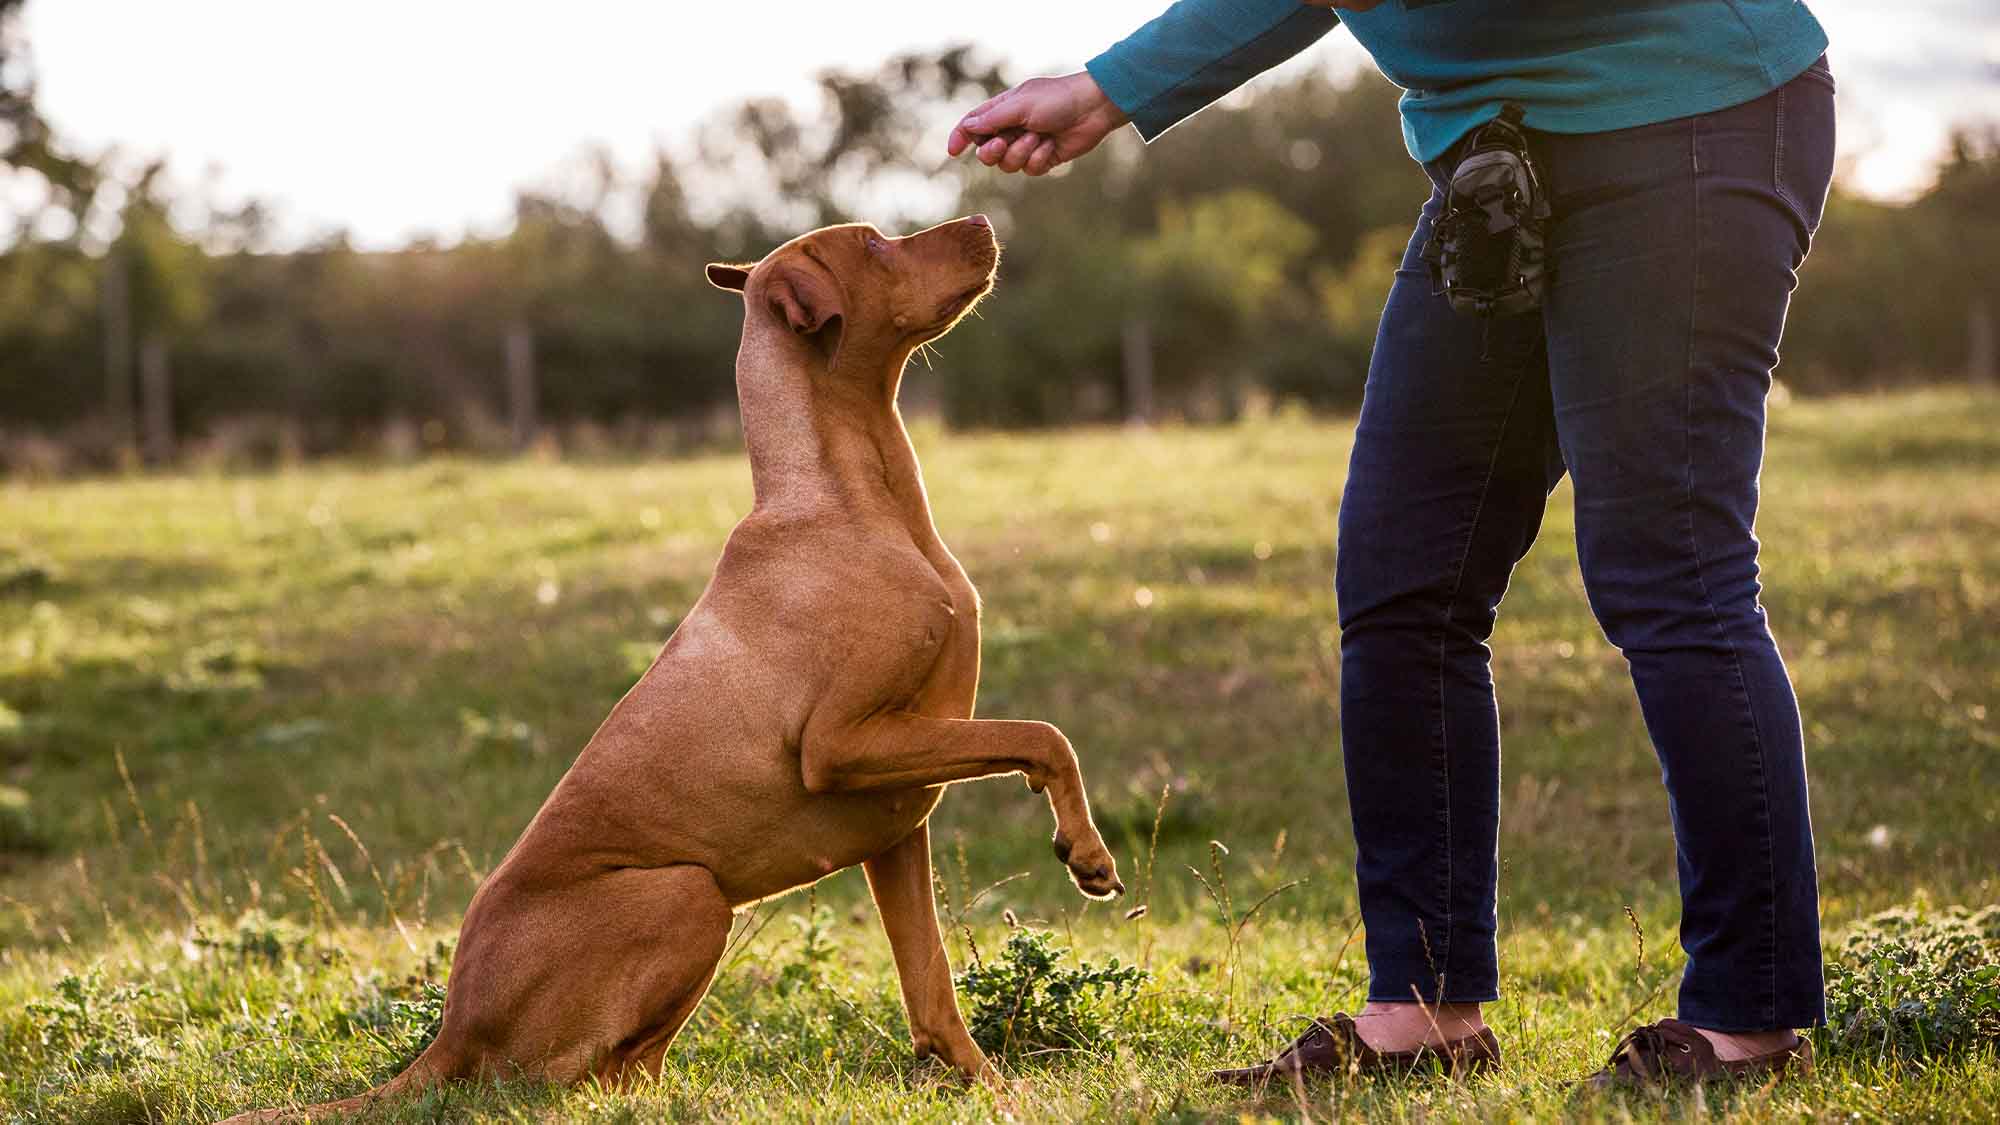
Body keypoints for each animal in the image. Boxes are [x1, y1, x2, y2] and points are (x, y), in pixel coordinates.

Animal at [225, 214, 1128, 1112]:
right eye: (874, 244)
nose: (983, 221)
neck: (848, 502)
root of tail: (450, 1031)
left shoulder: (898, 819)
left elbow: (931, 983)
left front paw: (993, 1088)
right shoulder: (841, 744)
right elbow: (1043, 733)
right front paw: (1086, 850)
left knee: (627, 1065)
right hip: (689, 892)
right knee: (567, 1083)